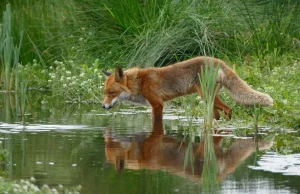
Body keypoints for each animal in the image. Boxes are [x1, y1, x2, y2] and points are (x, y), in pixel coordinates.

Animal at [102, 56, 274, 122]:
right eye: (105, 93)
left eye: (112, 93)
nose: (103, 106)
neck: (140, 82)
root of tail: (219, 60)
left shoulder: (157, 104)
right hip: (210, 99)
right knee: (218, 114)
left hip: (206, 96)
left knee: (229, 109)